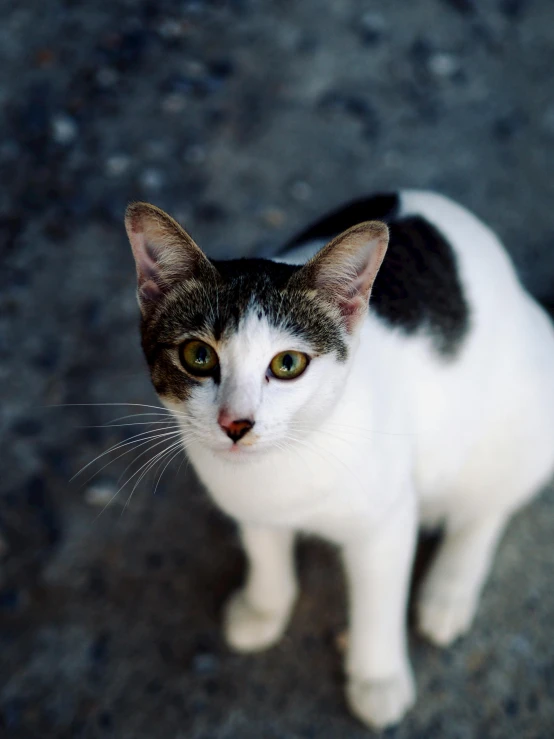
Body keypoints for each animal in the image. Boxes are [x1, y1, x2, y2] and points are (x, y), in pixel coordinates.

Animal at [123, 191, 552, 728]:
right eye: (198, 356)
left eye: (288, 364)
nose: (236, 423)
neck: (286, 464)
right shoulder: (249, 503)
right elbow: (264, 548)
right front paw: (265, 607)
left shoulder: (386, 524)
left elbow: (377, 605)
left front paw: (377, 679)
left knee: (489, 504)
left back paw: (448, 590)